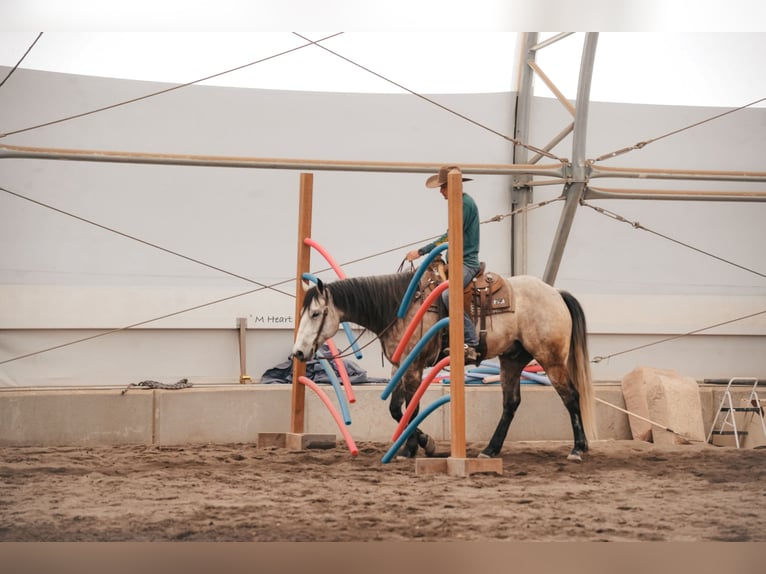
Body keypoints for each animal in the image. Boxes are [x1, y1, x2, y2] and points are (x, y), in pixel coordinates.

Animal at [291, 265, 596, 461]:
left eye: (316, 313)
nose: (298, 353)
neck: (400, 308)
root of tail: (556, 293)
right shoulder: (400, 366)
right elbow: (396, 410)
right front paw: (421, 444)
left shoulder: (414, 367)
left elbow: (411, 408)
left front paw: (412, 447)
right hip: (512, 359)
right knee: (511, 404)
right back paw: (490, 450)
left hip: (551, 360)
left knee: (571, 397)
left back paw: (578, 448)